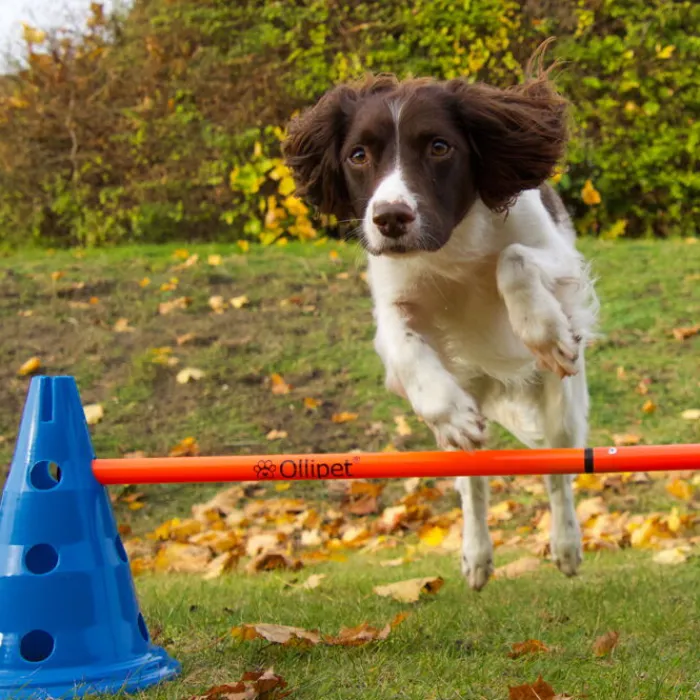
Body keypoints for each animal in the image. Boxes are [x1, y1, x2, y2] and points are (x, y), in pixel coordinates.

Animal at [282, 50, 600, 592]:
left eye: (438, 147)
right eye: (358, 155)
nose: (390, 218)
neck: (450, 246)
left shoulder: (559, 259)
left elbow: (512, 258)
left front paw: (545, 332)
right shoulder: (392, 299)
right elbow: (406, 346)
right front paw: (449, 412)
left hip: (564, 410)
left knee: (557, 471)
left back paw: (565, 546)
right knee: (471, 482)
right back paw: (477, 556)